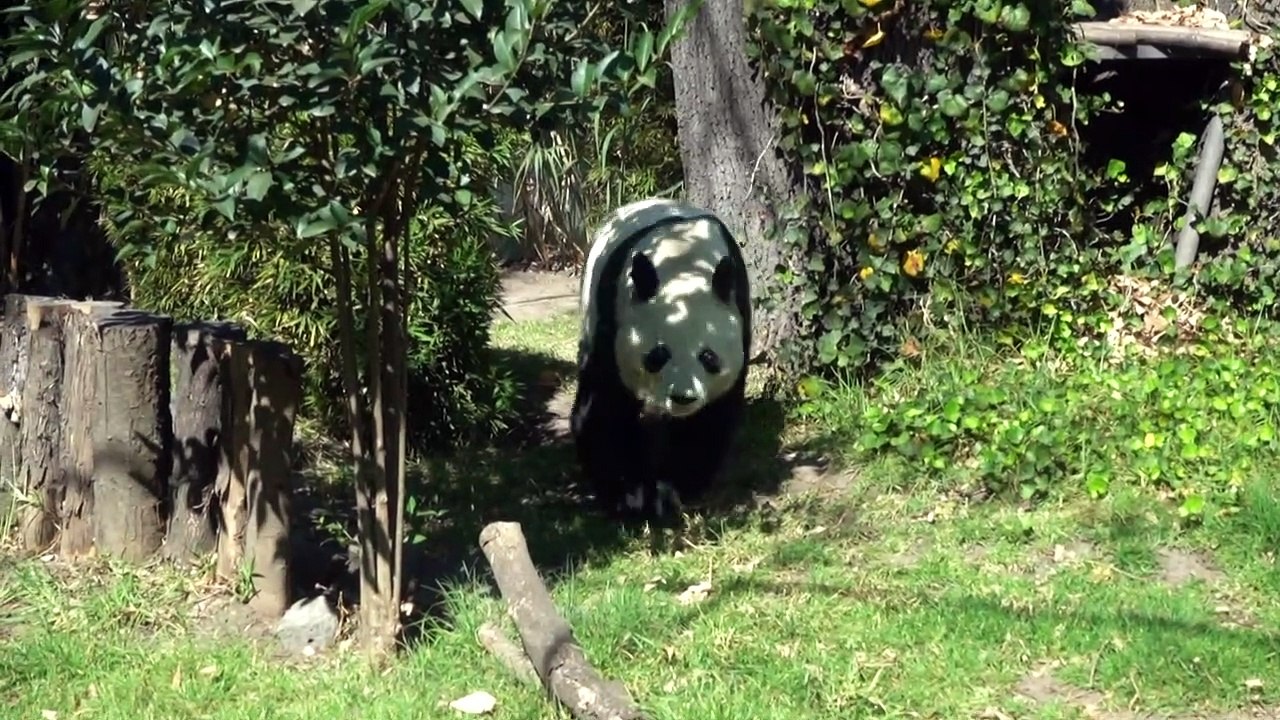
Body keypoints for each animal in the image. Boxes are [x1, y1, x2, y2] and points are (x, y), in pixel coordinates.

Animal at [570, 197, 751, 520]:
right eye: (658, 355)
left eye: (708, 357)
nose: (683, 397)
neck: (683, 265)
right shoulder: (612, 321)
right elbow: (604, 409)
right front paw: (628, 495)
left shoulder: (738, 313)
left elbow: (706, 423)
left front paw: (672, 491)